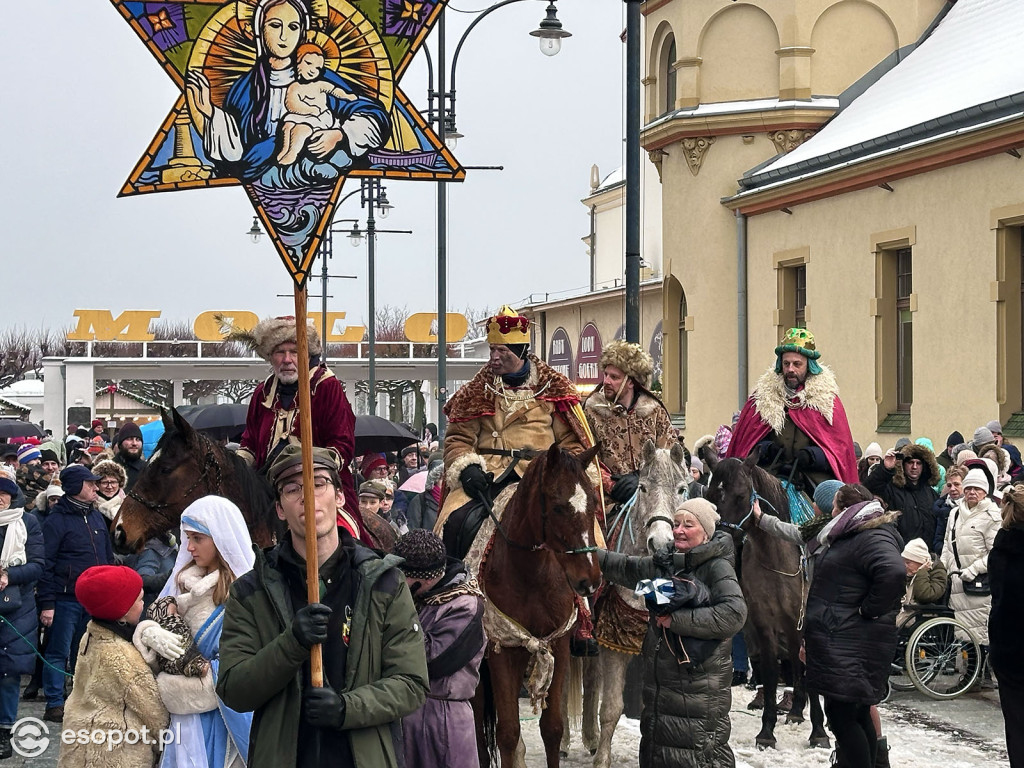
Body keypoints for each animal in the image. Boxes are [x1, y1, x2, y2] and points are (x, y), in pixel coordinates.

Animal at [475, 444, 602, 768]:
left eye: (594, 503)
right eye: (557, 507)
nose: (590, 580)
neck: (532, 574)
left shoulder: (557, 645)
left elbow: (553, 728)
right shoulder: (501, 650)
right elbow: (508, 734)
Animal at [704, 450, 831, 753]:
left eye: (741, 495)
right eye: (710, 495)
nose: (720, 536)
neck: (775, 556)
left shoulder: (803, 621)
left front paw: (819, 732)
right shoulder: (763, 622)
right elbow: (772, 671)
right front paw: (767, 730)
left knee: (798, 663)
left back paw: (798, 710)